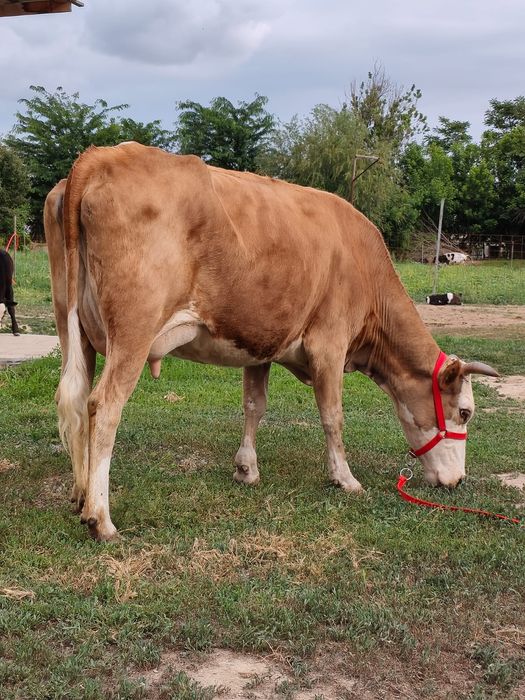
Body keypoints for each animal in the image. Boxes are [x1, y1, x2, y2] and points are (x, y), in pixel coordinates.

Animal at [44, 142, 499, 541]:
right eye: (465, 411)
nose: (458, 481)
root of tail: (101, 156)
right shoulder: (329, 343)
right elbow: (333, 415)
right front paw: (345, 478)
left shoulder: (260, 342)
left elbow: (254, 405)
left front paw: (246, 469)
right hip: (133, 329)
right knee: (104, 406)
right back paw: (100, 518)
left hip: (73, 326)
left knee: (76, 398)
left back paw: (81, 495)